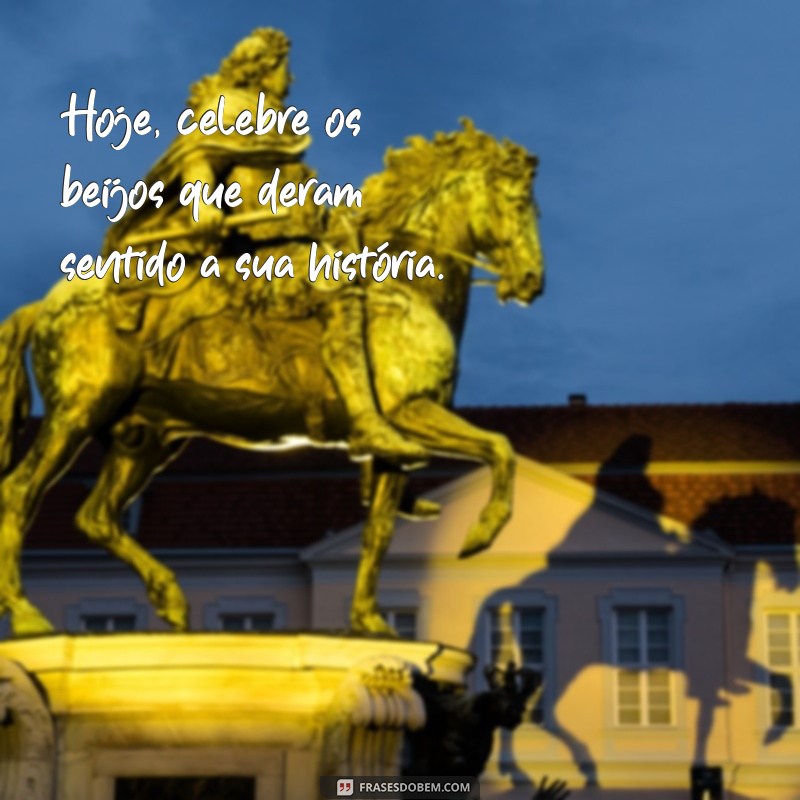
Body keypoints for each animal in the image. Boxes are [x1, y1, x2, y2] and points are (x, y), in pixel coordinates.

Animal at [0, 123, 544, 636]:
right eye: (519, 203)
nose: (533, 282)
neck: (405, 280)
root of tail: (43, 304)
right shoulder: (408, 411)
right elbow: (501, 448)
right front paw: (482, 532)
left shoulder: (397, 446)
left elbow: (380, 532)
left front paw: (370, 621)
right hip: (77, 415)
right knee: (20, 495)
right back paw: (28, 616)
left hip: (143, 438)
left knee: (97, 515)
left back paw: (169, 597)